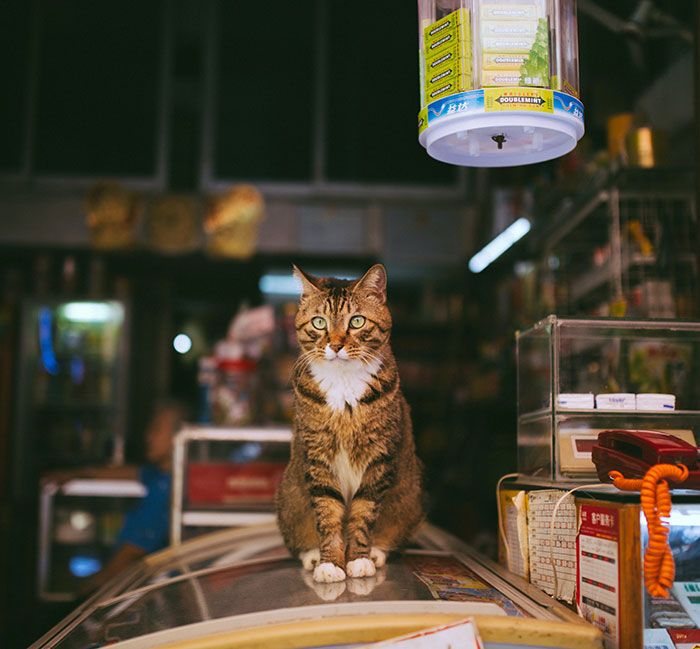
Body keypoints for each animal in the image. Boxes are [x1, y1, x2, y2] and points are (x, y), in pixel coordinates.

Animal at [276, 264, 424, 584]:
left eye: (356, 321)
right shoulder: (318, 456)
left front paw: (358, 559)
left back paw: (377, 552)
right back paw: (312, 555)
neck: (343, 385)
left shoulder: (378, 457)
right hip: (288, 498)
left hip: (411, 497)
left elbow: (363, 513)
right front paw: (330, 563)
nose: (334, 345)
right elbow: (327, 513)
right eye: (319, 322)